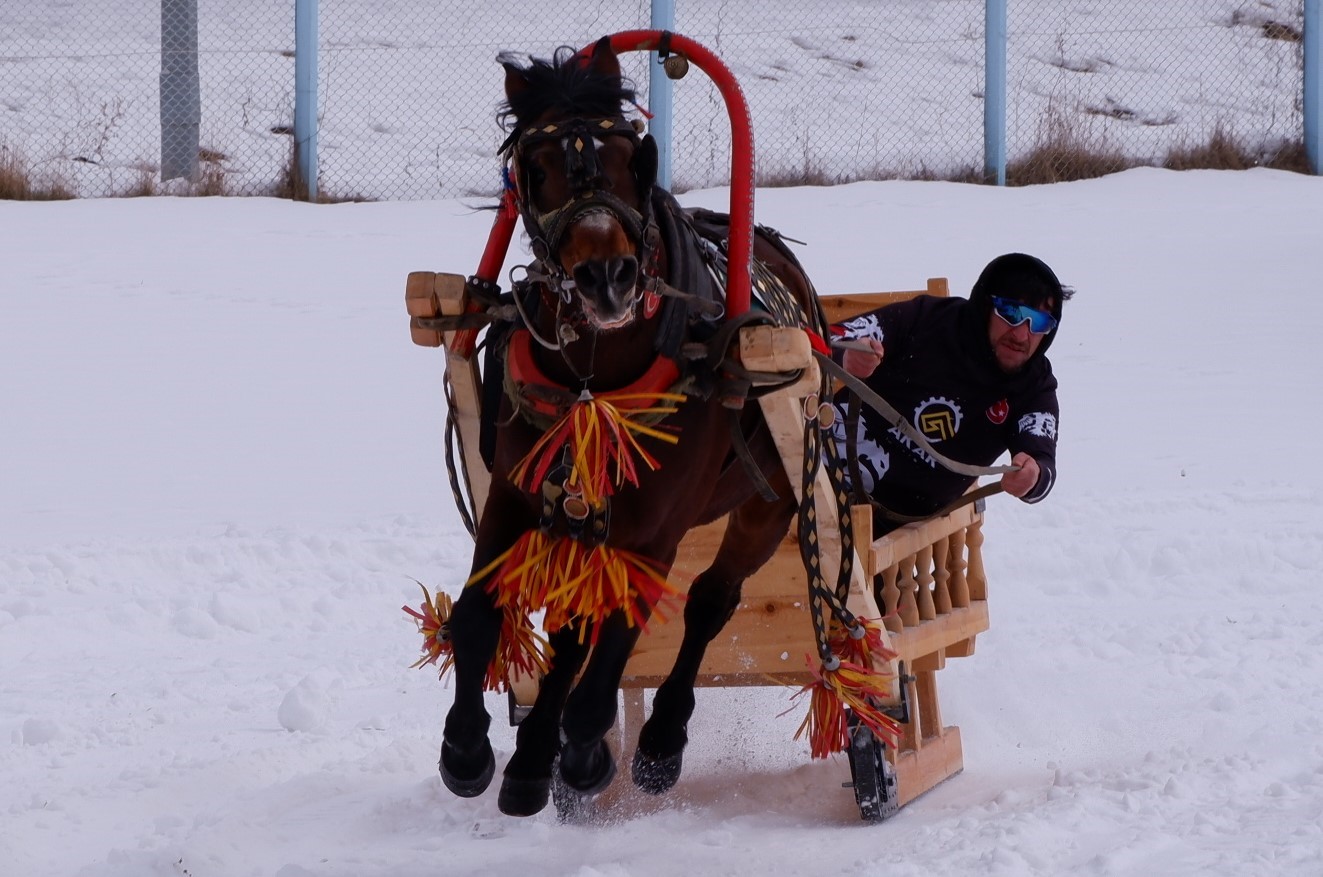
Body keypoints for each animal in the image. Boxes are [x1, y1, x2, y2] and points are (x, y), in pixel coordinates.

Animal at [433, 34, 825, 814]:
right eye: (537, 167)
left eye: (627, 154)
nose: (606, 276)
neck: (594, 379)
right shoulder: (516, 496)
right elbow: (480, 611)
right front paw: (467, 748)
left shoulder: (653, 532)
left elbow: (614, 639)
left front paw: (585, 752)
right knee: (568, 632)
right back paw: (532, 761)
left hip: (767, 500)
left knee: (709, 602)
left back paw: (656, 741)